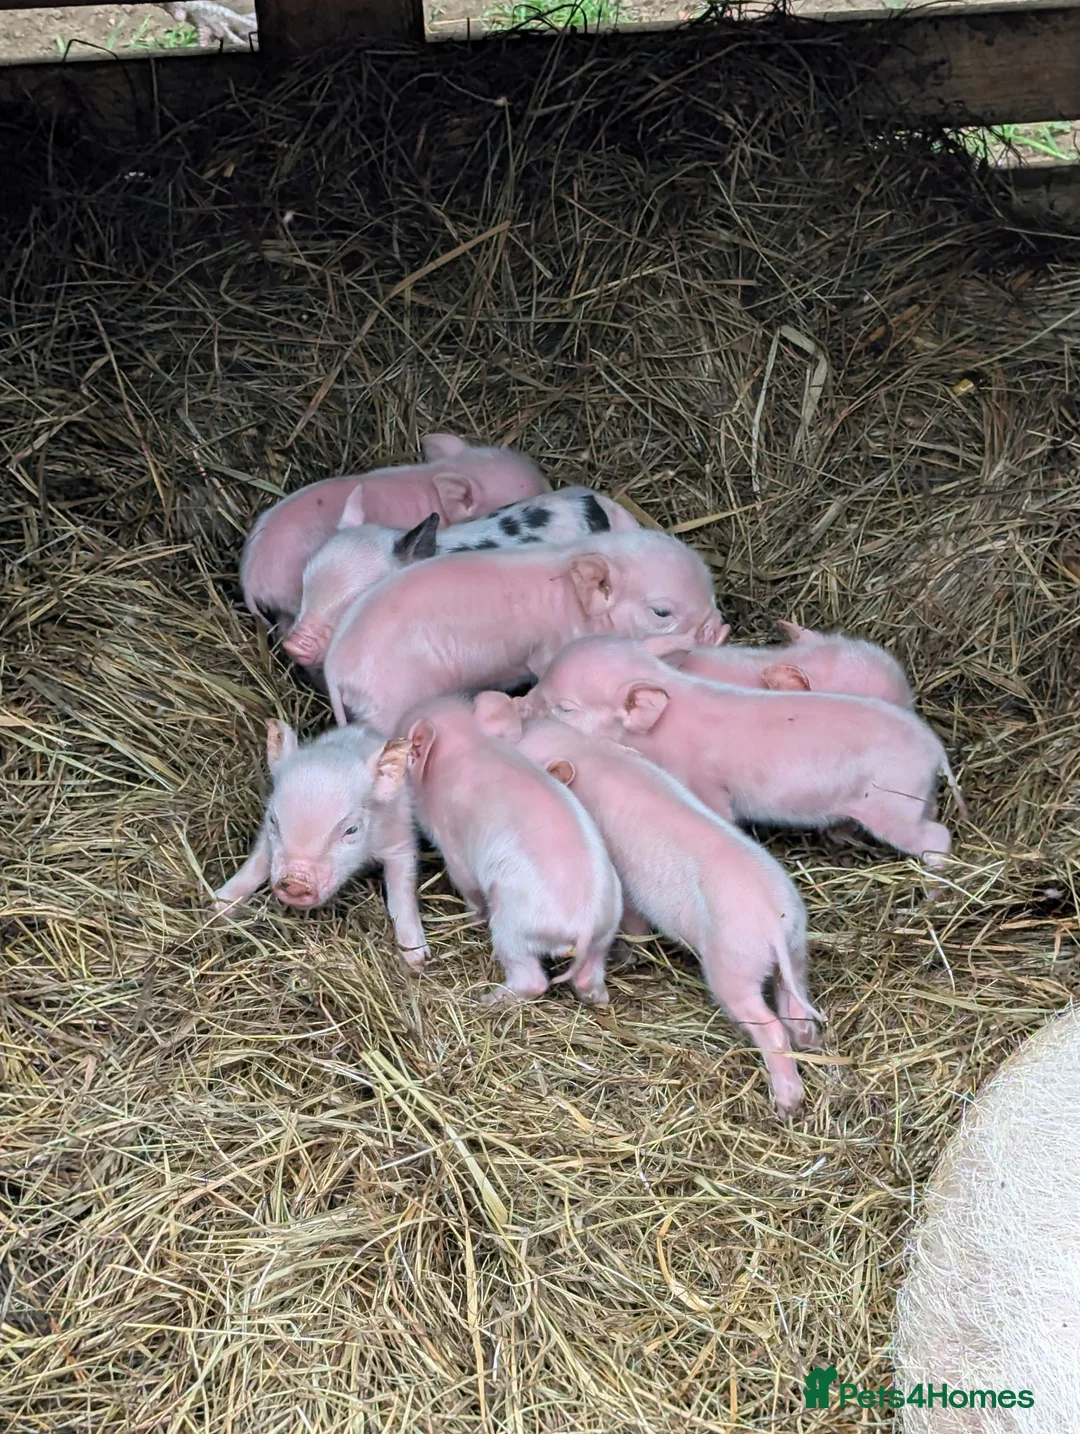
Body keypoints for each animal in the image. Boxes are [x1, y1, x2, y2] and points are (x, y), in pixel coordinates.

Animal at [211, 717, 428, 964]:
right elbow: (256, 863)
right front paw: (218, 908)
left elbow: (402, 889)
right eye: (273, 820)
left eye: (351, 830)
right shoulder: (266, 836)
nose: (296, 881)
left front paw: (416, 960)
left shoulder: (400, 838)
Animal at [374, 695, 622, 1004]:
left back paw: (485, 999)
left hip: (513, 927)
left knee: (531, 980)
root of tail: (586, 926)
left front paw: (472, 917)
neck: (469, 742)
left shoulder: (454, 846)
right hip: (606, 933)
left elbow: (467, 886)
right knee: (592, 982)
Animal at [475, 696, 819, 1116]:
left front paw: (627, 956)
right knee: (795, 1004)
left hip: (733, 968)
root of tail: (775, 924)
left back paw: (786, 1104)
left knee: (769, 1027)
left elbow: (634, 922)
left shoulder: (624, 879)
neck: (588, 753)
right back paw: (808, 1043)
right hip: (797, 952)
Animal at [516, 635, 966, 869]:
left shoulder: (707, 787)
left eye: (565, 708)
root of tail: (934, 748)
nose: (518, 705)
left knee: (937, 838)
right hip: (914, 799)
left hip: (893, 806)